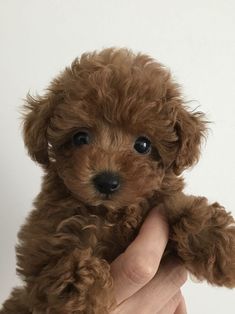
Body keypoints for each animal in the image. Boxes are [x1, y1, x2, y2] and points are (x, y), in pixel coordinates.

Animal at [1, 47, 235, 312]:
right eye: (80, 138)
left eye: (143, 144)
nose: (106, 181)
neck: (113, 214)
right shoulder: (44, 244)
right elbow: (65, 261)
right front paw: (83, 297)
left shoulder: (160, 201)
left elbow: (187, 208)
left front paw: (220, 245)